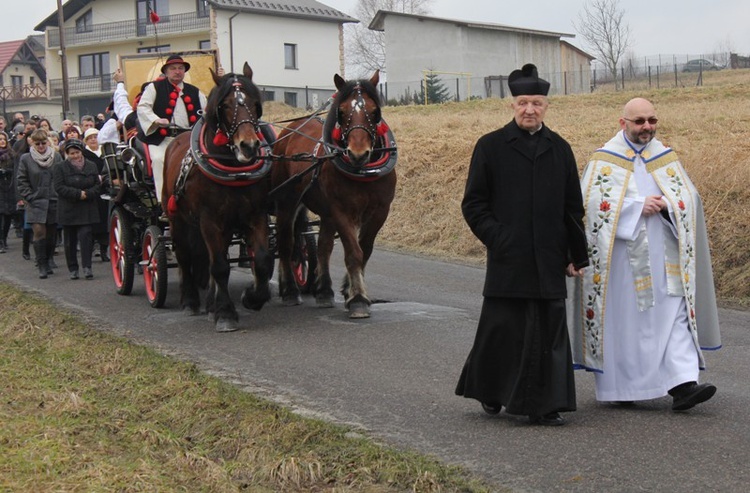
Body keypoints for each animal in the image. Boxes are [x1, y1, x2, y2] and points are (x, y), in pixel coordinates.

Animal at [163, 62, 274, 330]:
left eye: (255, 102)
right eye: (225, 105)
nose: (249, 146)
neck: (233, 169)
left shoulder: (255, 216)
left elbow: (262, 261)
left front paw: (252, 298)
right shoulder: (210, 220)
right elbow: (221, 267)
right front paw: (225, 314)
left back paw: (211, 302)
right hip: (177, 220)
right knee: (184, 256)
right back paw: (190, 301)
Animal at [272, 71, 400, 320]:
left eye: (375, 112)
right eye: (341, 111)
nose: (358, 153)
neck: (363, 172)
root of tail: (289, 129)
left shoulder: (380, 212)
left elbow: (364, 250)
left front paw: (349, 290)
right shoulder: (341, 211)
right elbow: (353, 252)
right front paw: (358, 299)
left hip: (325, 212)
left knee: (323, 247)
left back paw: (323, 291)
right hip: (287, 201)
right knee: (286, 243)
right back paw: (289, 290)